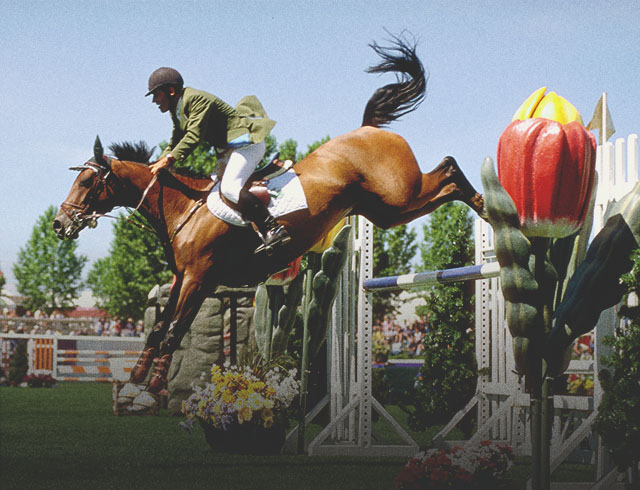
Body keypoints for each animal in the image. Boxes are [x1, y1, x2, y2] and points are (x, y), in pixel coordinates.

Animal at [56, 36, 484, 396]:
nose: (60, 224)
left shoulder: (200, 279)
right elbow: (158, 328)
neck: (183, 209)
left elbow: (175, 329)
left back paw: (483, 205)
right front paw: (136, 378)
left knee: (448, 169)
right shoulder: (181, 277)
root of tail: (368, 130)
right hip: (382, 210)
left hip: (399, 197)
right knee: (442, 179)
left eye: (87, 182)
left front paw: (155, 386)